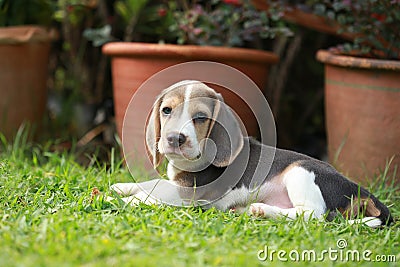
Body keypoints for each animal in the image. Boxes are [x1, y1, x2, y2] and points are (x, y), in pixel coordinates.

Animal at [111, 81, 392, 228]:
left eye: (200, 117)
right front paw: (120, 187)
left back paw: (260, 209)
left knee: (314, 215)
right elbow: (152, 182)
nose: (174, 139)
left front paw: (123, 200)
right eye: (167, 110)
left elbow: (153, 191)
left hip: (301, 171)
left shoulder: (190, 191)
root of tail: (363, 192)